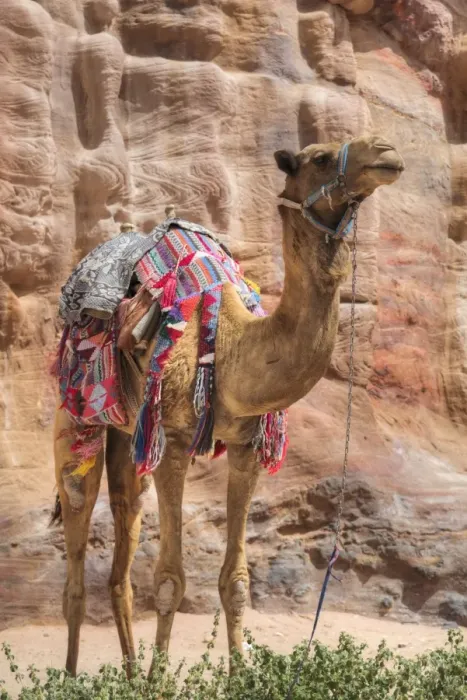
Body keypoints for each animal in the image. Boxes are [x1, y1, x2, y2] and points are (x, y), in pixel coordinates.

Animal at [53, 134, 404, 677]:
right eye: (320, 157)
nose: (386, 151)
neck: (234, 344)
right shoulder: (175, 443)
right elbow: (170, 579)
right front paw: (159, 681)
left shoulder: (246, 447)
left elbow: (236, 580)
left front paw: (241, 673)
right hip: (76, 413)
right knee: (75, 537)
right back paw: (75, 677)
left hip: (129, 437)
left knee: (122, 542)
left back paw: (128, 676)